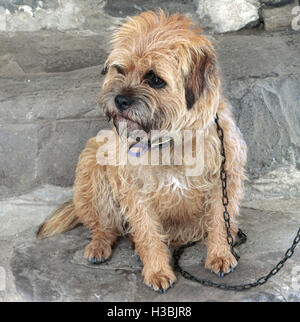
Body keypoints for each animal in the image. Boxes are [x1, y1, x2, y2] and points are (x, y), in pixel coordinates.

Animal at [38, 10, 247, 292]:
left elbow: (219, 220)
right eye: (120, 69)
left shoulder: (223, 181)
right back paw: (100, 246)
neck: (170, 140)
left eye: (155, 79)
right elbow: (147, 232)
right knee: (106, 227)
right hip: (93, 166)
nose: (120, 100)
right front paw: (157, 270)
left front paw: (220, 254)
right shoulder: (136, 192)